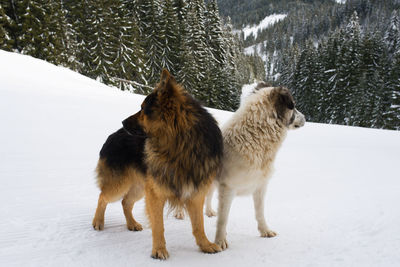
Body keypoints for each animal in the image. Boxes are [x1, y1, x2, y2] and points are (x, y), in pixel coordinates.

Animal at [92, 69, 223, 260]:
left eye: (142, 109)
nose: (122, 122)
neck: (181, 145)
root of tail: (111, 136)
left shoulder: (195, 194)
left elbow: (199, 224)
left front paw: (205, 245)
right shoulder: (156, 194)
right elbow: (158, 225)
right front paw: (159, 249)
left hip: (139, 187)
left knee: (125, 202)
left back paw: (131, 224)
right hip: (120, 185)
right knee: (103, 197)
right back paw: (98, 221)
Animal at [212, 85, 306, 250]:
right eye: (293, 106)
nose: (305, 117)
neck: (254, 137)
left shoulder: (260, 186)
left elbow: (260, 212)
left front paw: (265, 231)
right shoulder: (227, 188)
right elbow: (223, 219)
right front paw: (220, 241)